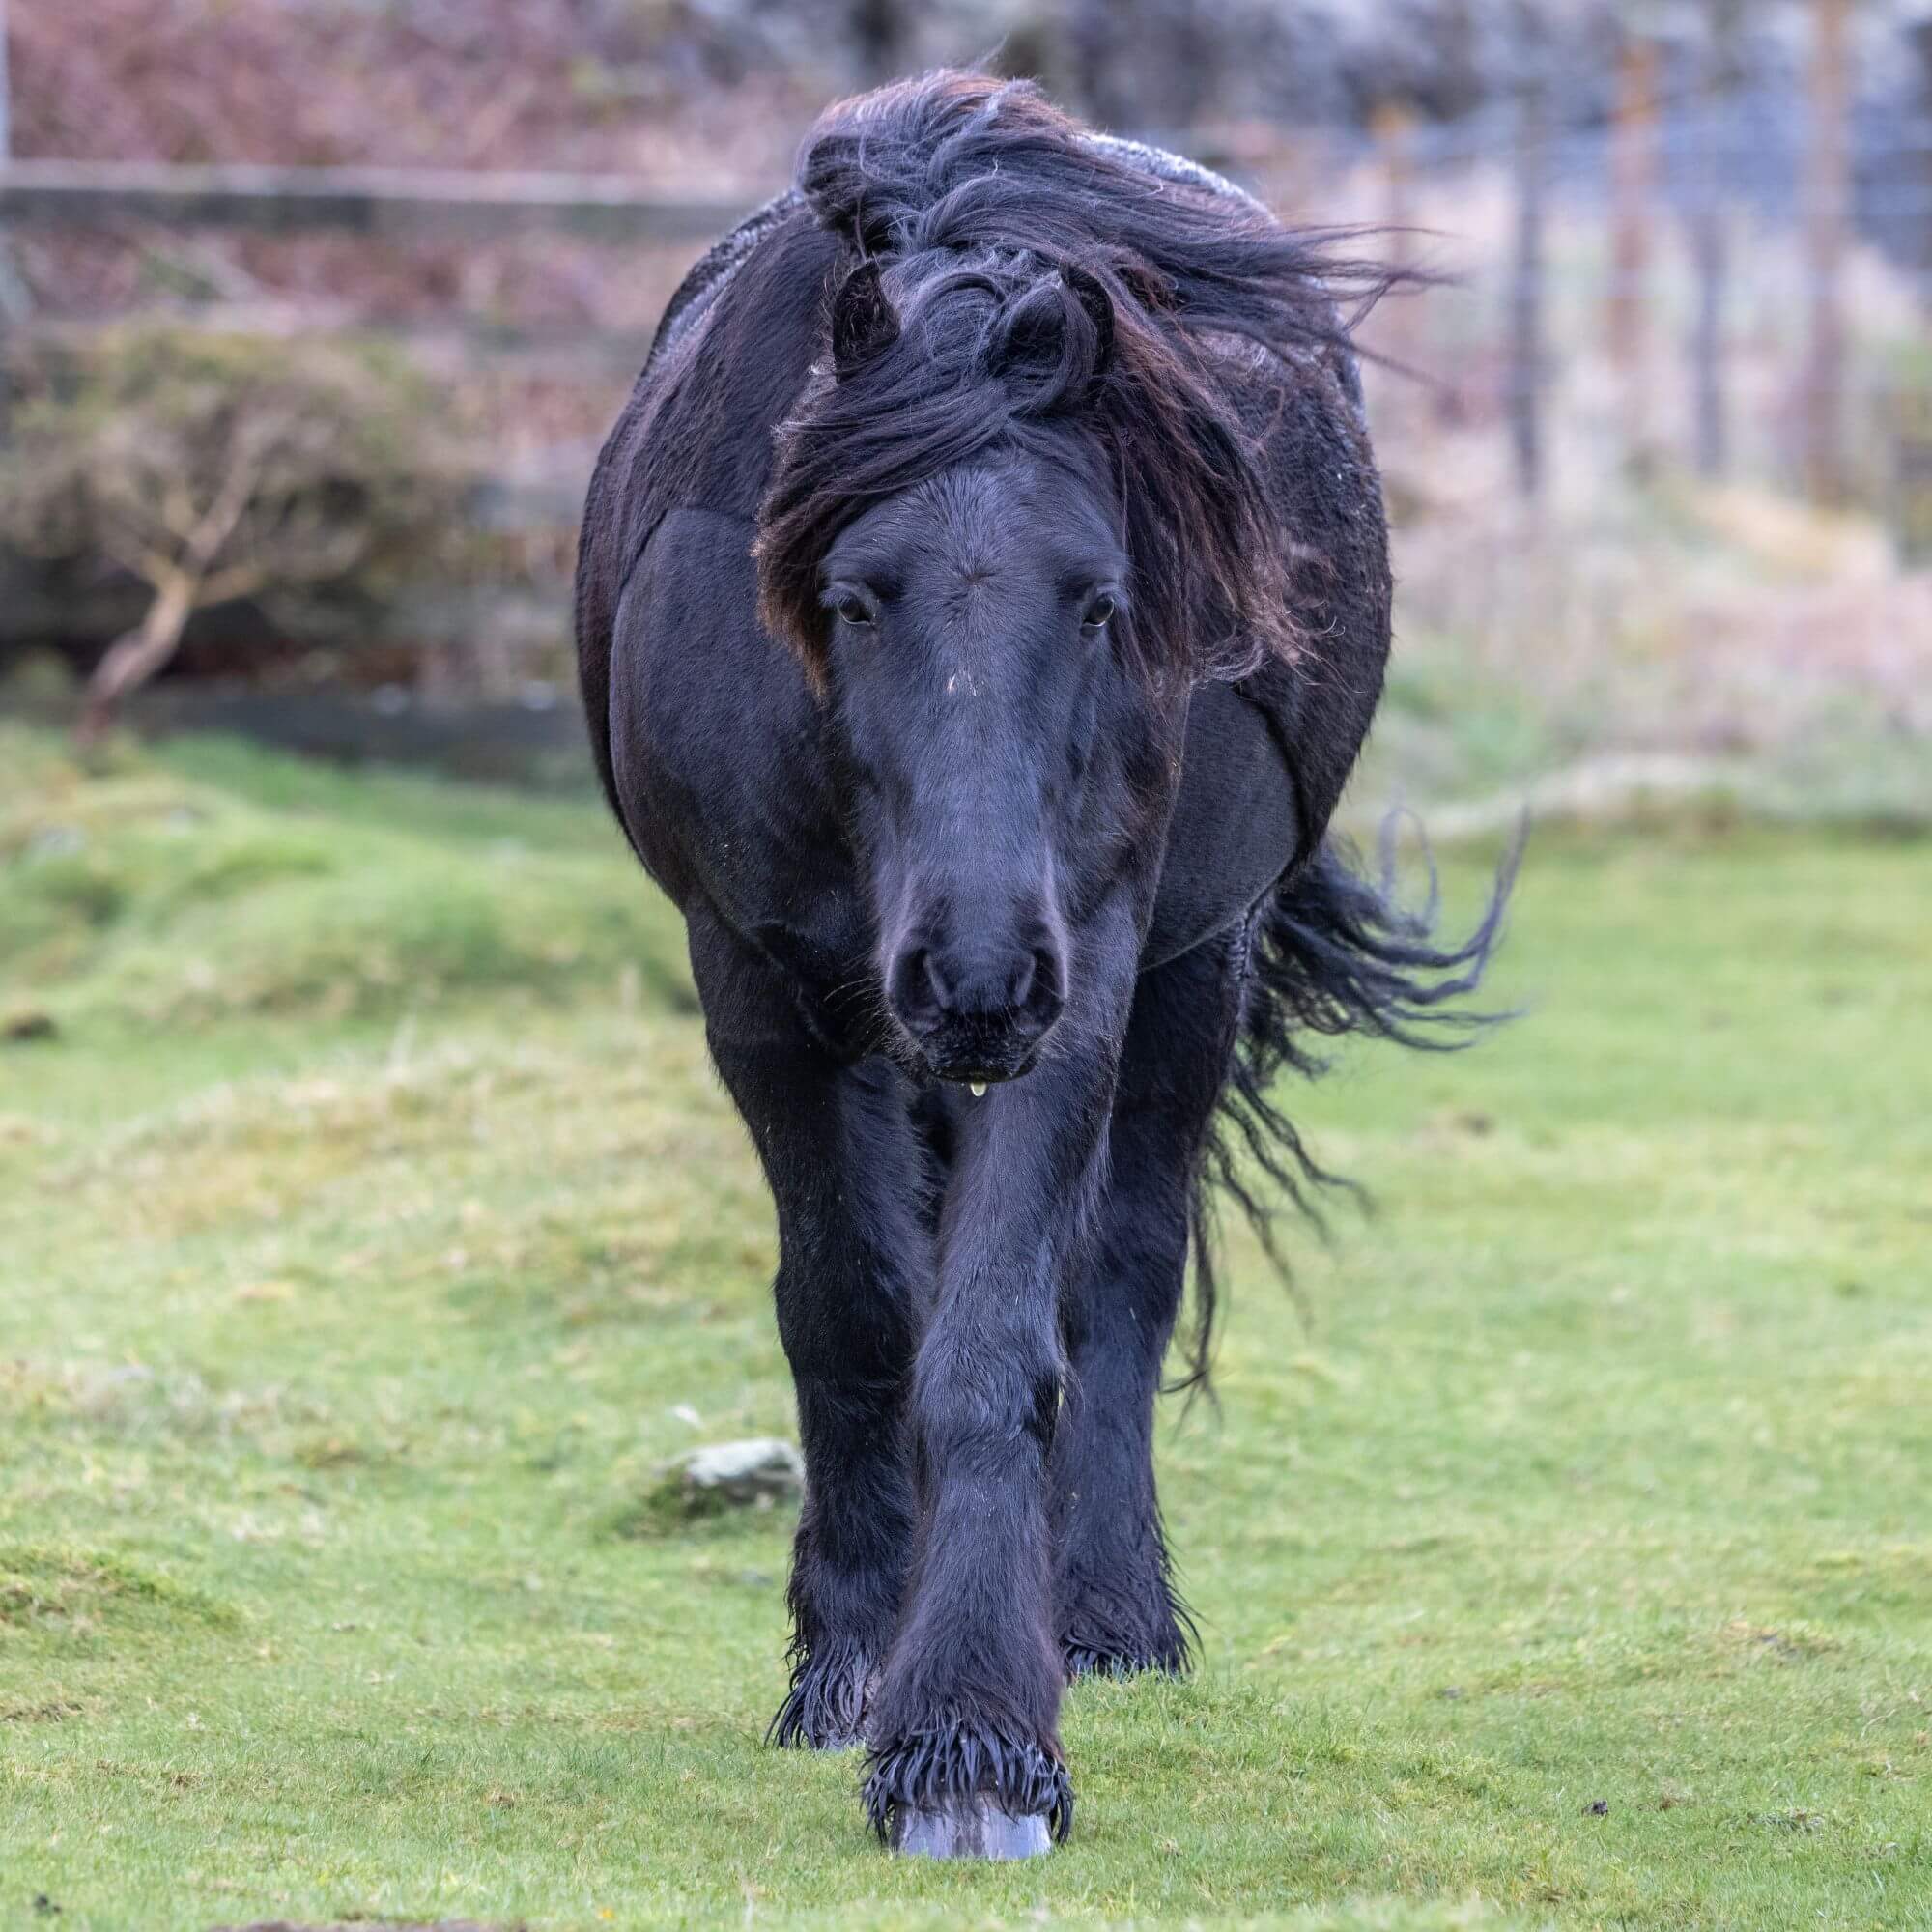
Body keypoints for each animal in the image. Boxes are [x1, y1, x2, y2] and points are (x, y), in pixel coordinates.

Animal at [575, 70, 1513, 1859]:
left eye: (1100, 603)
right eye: (854, 596)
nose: (979, 970)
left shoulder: (1090, 972)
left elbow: (1003, 1333)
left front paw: (969, 1745)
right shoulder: (757, 985)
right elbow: (854, 1313)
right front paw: (849, 1668)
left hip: (1188, 973)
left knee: (1128, 1269)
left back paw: (1110, 1618)